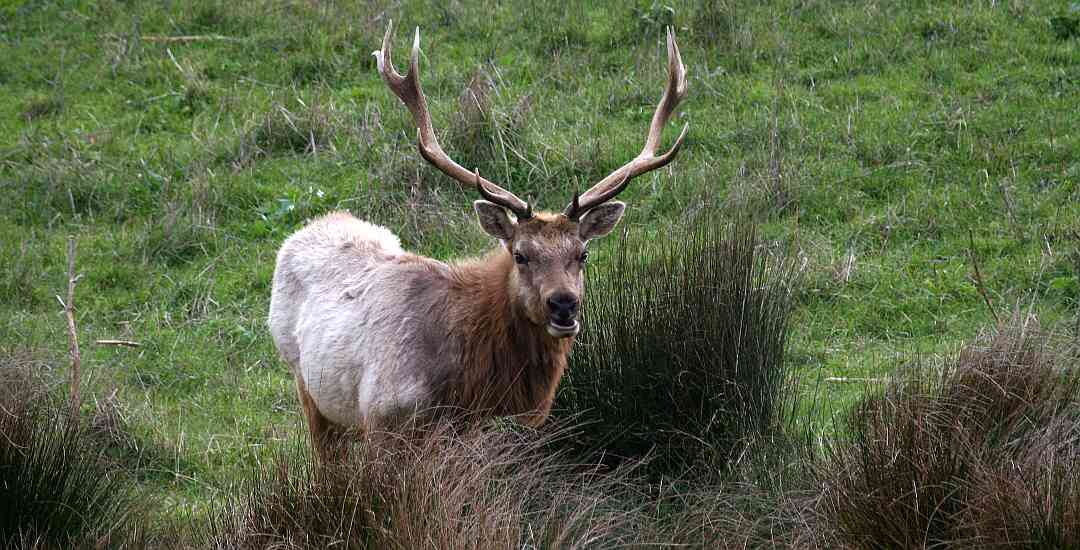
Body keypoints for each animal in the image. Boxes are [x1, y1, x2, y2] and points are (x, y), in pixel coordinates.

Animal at [268, 21, 688, 458]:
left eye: (583, 253)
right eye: (521, 255)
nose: (563, 303)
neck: (466, 388)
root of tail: (309, 227)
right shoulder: (381, 415)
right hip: (304, 381)